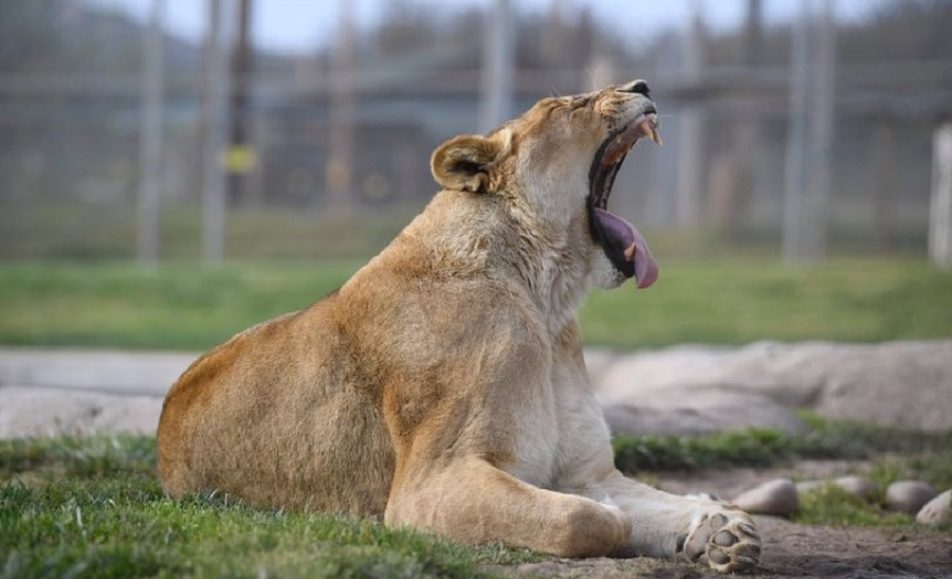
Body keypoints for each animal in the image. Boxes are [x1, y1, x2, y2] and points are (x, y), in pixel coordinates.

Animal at [157, 80, 761, 572]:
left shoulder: (585, 470)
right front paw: (634, 519)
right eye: (570, 106)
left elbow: (654, 503)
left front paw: (720, 530)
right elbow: (585, 519)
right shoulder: (426, 486)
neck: (546, 303)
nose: (641, 85)